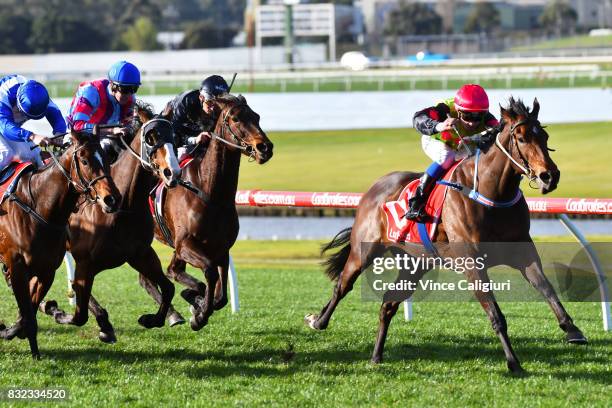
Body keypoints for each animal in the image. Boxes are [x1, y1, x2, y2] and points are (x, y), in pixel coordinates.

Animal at [0, 131, 120, 356]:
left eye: (107, 159)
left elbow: (29, 310)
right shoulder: (17, 267)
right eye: (84, 161)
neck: (38, 207)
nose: (112, 199)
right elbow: (27, 313)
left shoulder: (46, 271)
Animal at [38, 102, 180, 342]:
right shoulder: (86, 262)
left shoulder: (140, 254)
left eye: (174, 136)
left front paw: (153, 319)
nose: (173, 173)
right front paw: (56, 310)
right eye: (151, 137)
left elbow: (169, 288)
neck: (123, 207)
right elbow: (79, 311)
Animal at [304, 98, 584, 372]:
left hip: (415, 263)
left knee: (388, 304)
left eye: (544, 136)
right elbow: (495, 314)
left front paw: (572, 330)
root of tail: (375, 187)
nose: (550, 176)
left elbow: (546, 287)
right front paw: (513, 362)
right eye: (523, 138)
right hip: (365, 250)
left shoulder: (523, 252)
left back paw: (376, 357)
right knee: (343, 285)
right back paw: (318, 321)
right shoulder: (472, 263)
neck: (492, 193)